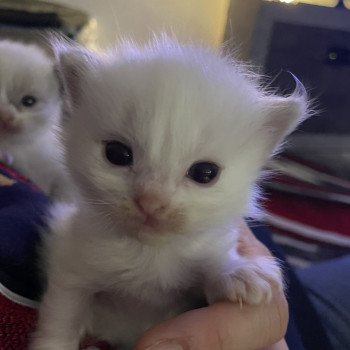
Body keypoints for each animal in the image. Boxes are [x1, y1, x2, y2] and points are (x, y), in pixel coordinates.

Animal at [30, 37, 308, 350]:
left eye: (205, 173)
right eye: (117, 153)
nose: (150, 201)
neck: (149, 254)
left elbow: (213, 267)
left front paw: (237, 271)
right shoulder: (70, 264)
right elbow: (61, 317)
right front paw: (51, 344)